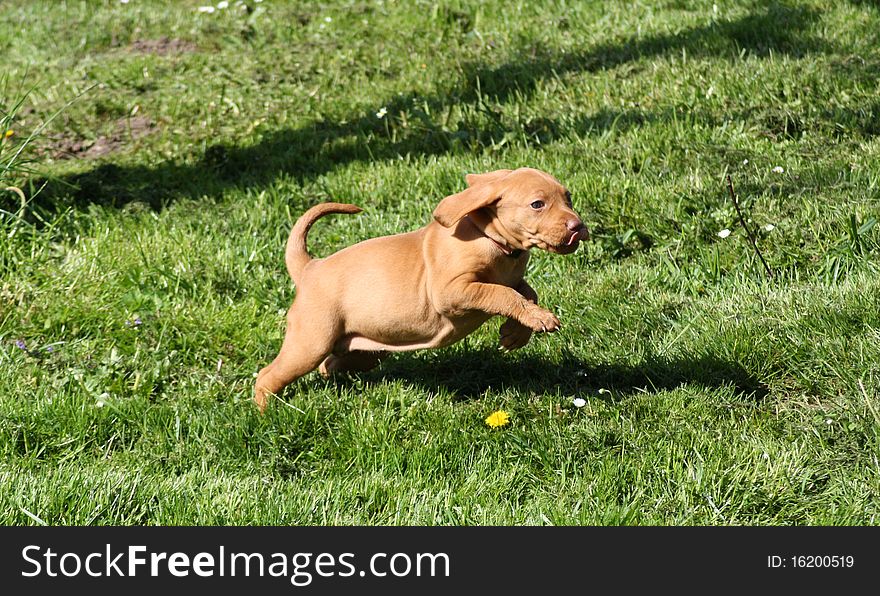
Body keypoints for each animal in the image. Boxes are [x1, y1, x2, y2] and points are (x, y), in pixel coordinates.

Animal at [253, 165, 584, 412]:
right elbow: (500, 293)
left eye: (568, 198)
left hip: (365, 349)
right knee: (268, 375)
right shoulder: (451, 292)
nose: (578, 226)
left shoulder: (512, 278)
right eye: (537, 204)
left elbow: (526, 292)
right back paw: (266, 412)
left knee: (329, 365)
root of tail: (310, 268)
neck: (492, 240)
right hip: (309, 343)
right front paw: (537, 319)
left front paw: (517, 332)